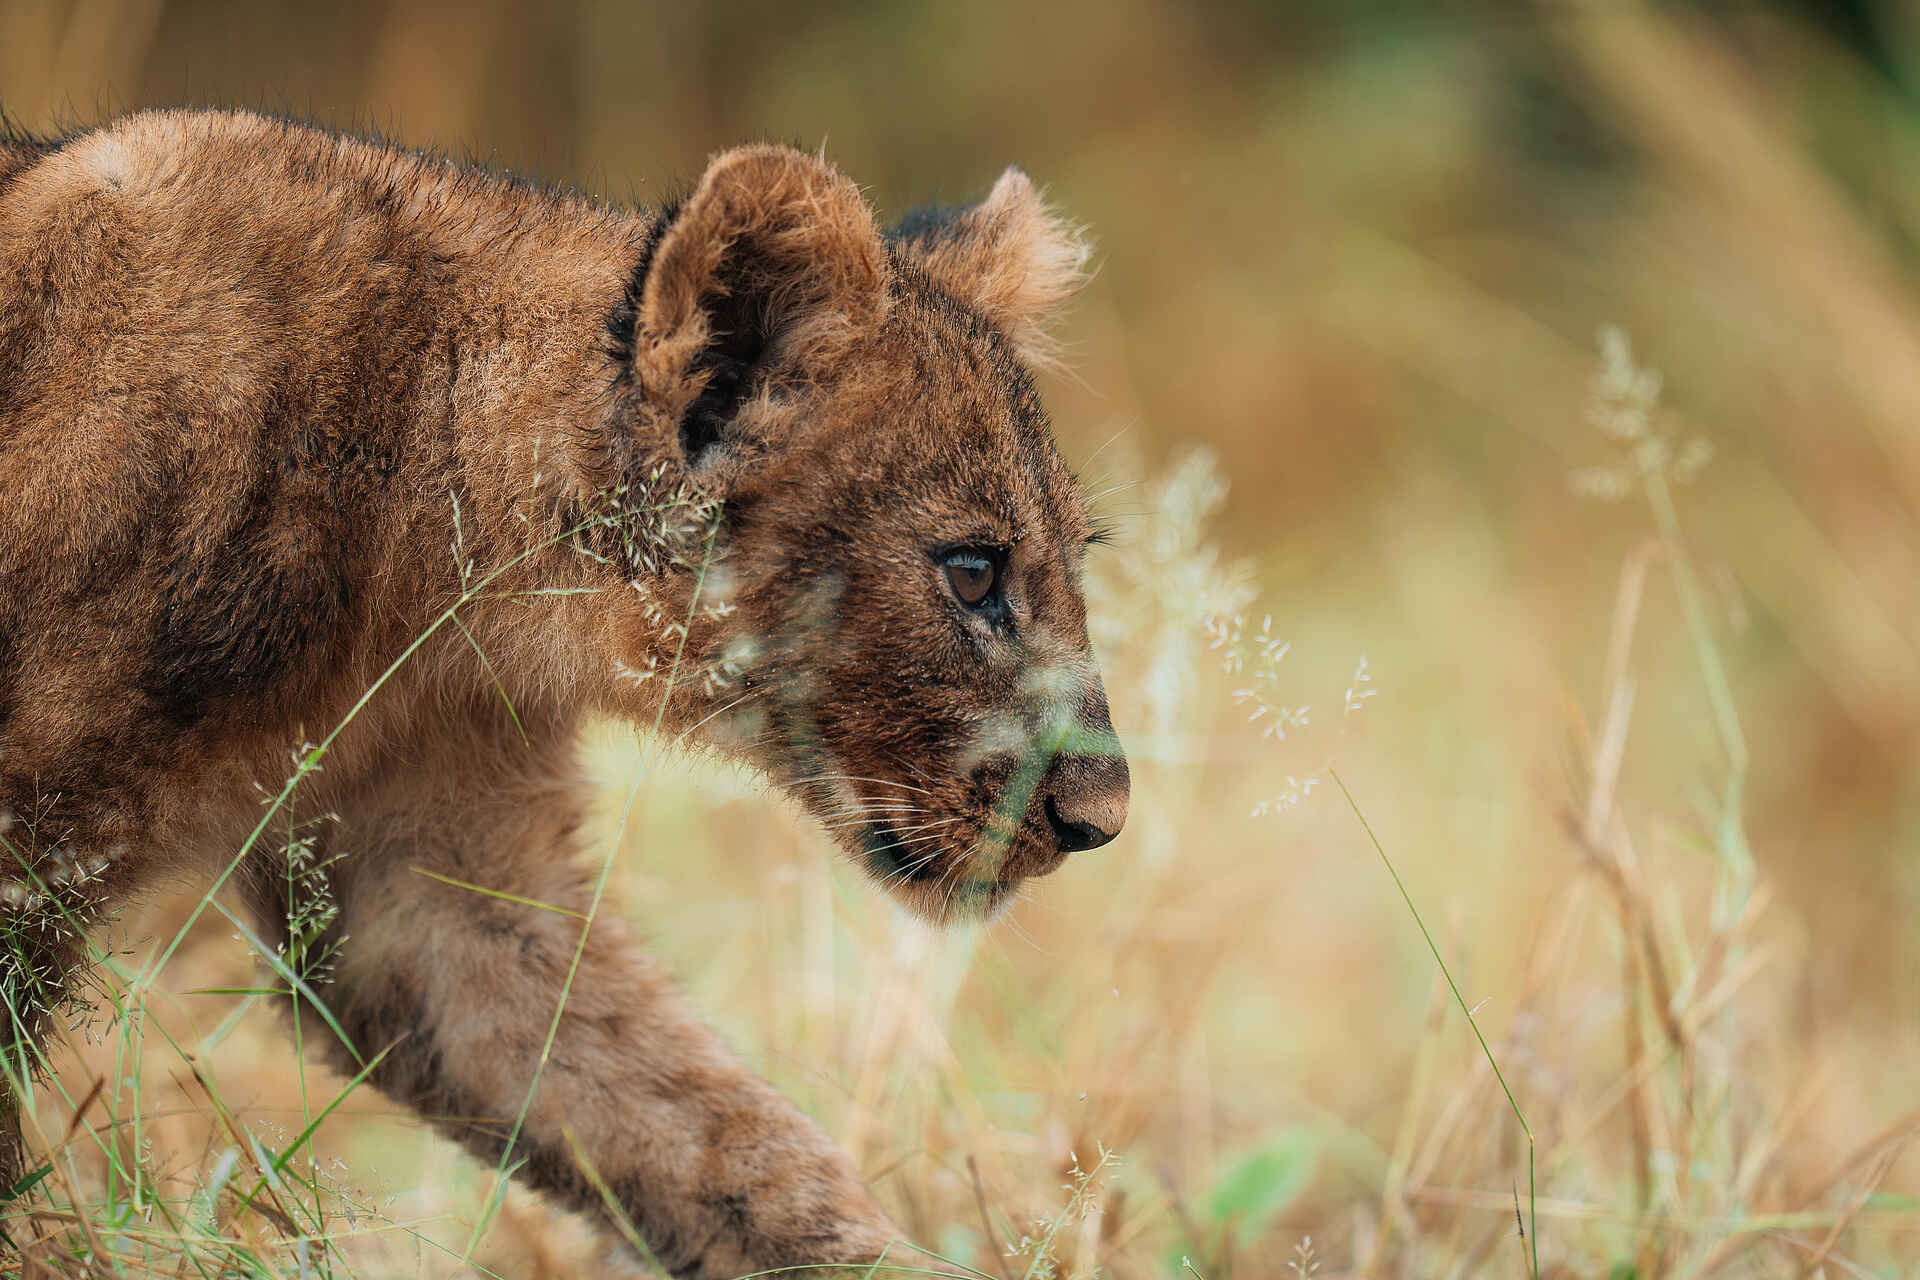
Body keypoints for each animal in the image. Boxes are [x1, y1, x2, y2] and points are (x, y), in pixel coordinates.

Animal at [0, 108, 1128, 1276]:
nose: (1102, 817)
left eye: (1074, 559)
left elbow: (714, 1133)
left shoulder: (432, 882)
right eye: (973, 572)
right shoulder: (27, 842)